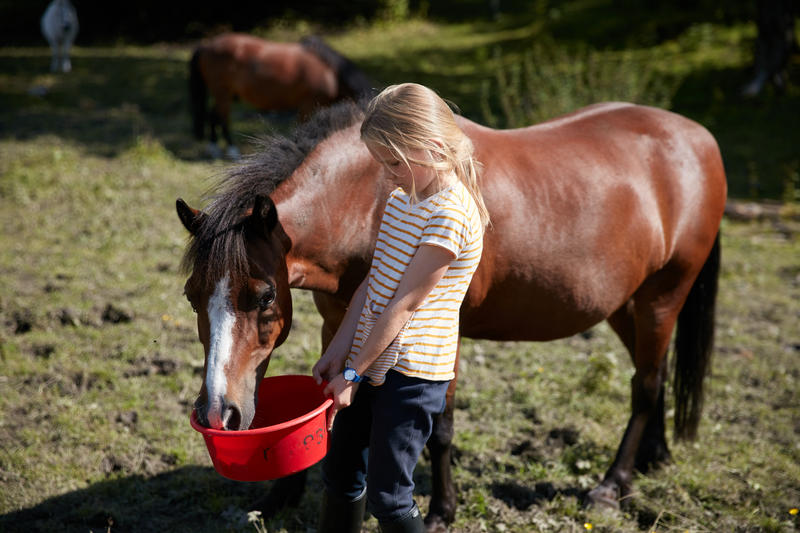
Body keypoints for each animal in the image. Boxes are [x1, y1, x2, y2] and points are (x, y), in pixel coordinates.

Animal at [178, 100, 728, 528]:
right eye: (191, 295)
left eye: (265, 296)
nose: (217, 414)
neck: (369, 200)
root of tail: (699, 138)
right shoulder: (339, 325)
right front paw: (278, 496)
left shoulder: (445, 332)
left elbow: (440, 427)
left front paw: (443, 511)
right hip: (625, 305)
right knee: (653, 374)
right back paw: (653, 458)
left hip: (661, 298)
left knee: (646, 386)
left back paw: (612, 485)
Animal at [189, 31, 374, 158]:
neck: (331, 73)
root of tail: (207, 45)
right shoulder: (308, 105)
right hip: (223, 93)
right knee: (223, 118)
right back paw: (232, 151)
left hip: (224, 94)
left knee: (213, 116)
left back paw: (214, 149)